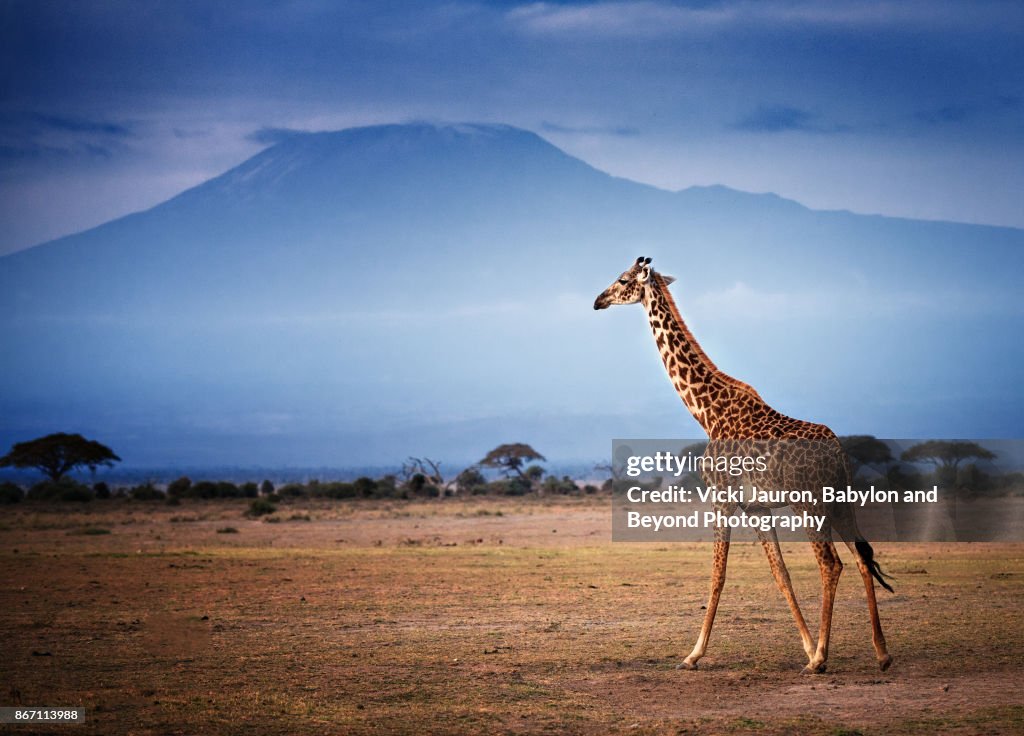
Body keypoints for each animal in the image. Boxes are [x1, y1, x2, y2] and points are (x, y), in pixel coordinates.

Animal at [598, 257, 892, 675]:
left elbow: (717, 576)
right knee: (863, 557)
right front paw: (805, 645)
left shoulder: (721, 497)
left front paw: (693, 654)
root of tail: (836, 450)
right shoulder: (757, 506)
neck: (705, 412)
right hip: (841, 500)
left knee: (831, 564)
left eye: (623, 280)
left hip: (810, 504)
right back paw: (880, 653)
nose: (598, 300)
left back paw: (821, 659)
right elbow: (780, 574)